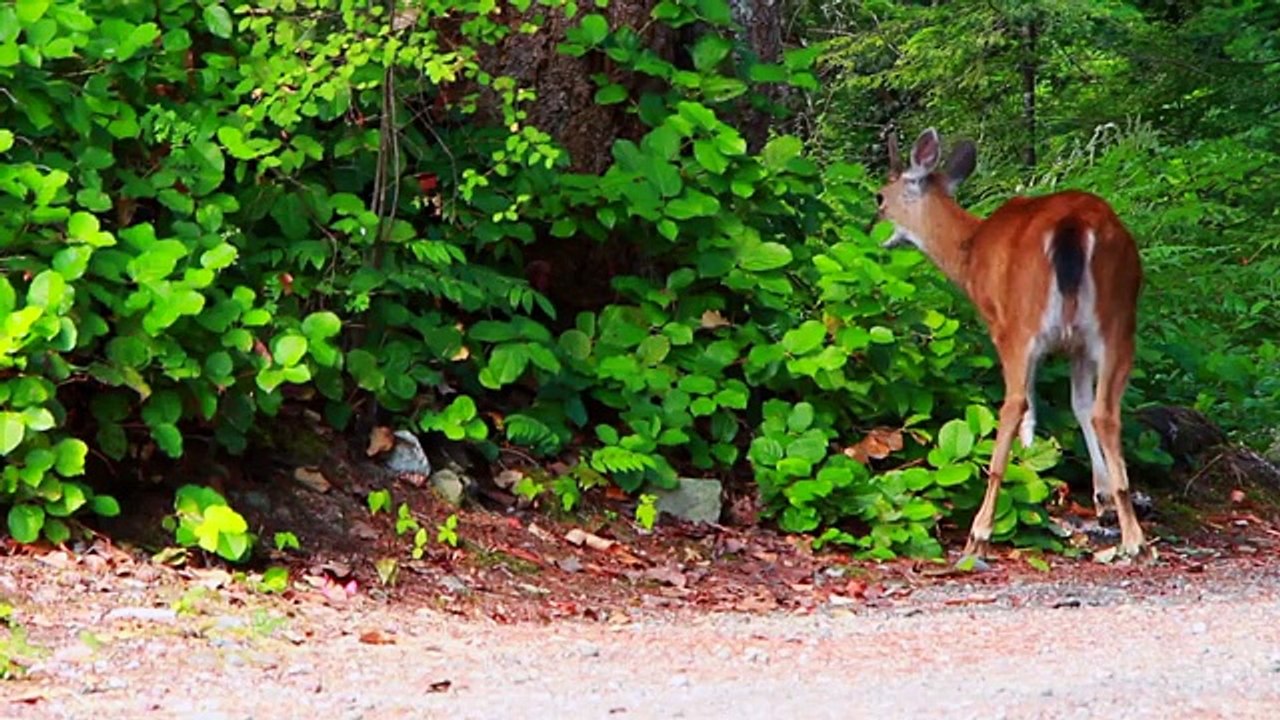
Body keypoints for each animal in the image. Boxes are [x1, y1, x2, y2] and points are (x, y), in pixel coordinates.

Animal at [874, 128, 1145, 561]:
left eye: (879, 197)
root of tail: (1073, 225)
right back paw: (1135, 538)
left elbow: (1030, 413)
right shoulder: (1077, 346)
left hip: (1023, 323)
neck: (969, 251)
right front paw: (1102, 497)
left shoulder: (1003, 328)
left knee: (1013, 405)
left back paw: (979, 533)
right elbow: (1080, 406)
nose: (873, 230)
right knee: (1106, 411)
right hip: (1118, 319)